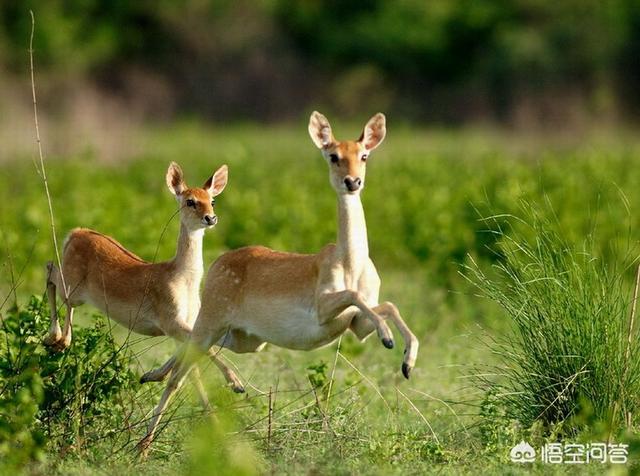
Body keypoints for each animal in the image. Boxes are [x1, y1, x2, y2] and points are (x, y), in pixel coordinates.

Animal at [43, 162, 245, 396]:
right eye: (190, 201)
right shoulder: (170, 321)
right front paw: (237, 384)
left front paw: (151, 376)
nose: (210, 218)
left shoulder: (187, 323)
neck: (183, 279)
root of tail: (75, 233)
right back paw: (56, 339)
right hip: (72, 285)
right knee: (51, 272)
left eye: (212, 201)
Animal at [138, 112, 420, 454]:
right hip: (213, 322)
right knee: (179, 374)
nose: (352, 182)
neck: (350, 263)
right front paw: (390, 340)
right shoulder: (325, 308)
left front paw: (406, 361)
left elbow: (386, 305)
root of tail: (218, 263)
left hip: (243, 338)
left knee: (188, 349)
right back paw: (143, 444)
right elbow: (357, 295)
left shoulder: (357, 325)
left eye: (364, 154)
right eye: (333, 155)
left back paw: (152, 377)